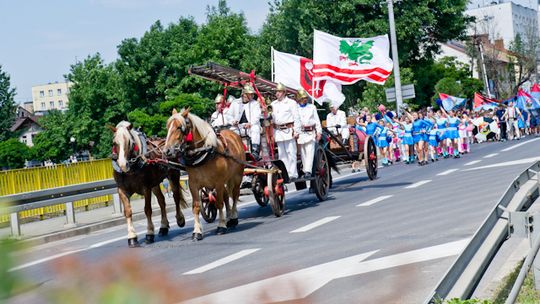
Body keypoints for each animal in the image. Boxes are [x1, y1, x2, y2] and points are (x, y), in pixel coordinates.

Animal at [162, 107, 243, 240]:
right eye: (168, 127)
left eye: (179, 127)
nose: (167, 151)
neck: (203, 152)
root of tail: (234, 135)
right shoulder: (193, 184)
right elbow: (196, 207)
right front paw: (197, 232)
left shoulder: (218, 183)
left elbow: (219, 203)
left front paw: (221, 226)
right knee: (227, 196)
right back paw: (229, 218)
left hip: (237, 177)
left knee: (235, 195)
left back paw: (233, 217)